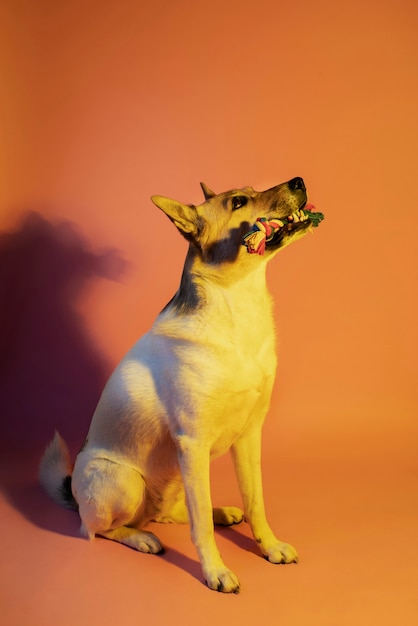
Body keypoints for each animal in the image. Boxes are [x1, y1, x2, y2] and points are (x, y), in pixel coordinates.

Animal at [40, 176, 324, 588]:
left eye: (250, 191)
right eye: (239, 202)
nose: (299, 181)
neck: (237, 305)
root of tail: (76, 495)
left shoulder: (249, 436)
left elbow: (255, 502)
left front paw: (269, 546)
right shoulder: (193, 443)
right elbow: (200, 524)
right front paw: (215, 571)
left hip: (176, 478)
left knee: (174, 512)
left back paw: (222, 513)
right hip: (127, 482)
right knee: (98, 530)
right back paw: (142, 538)